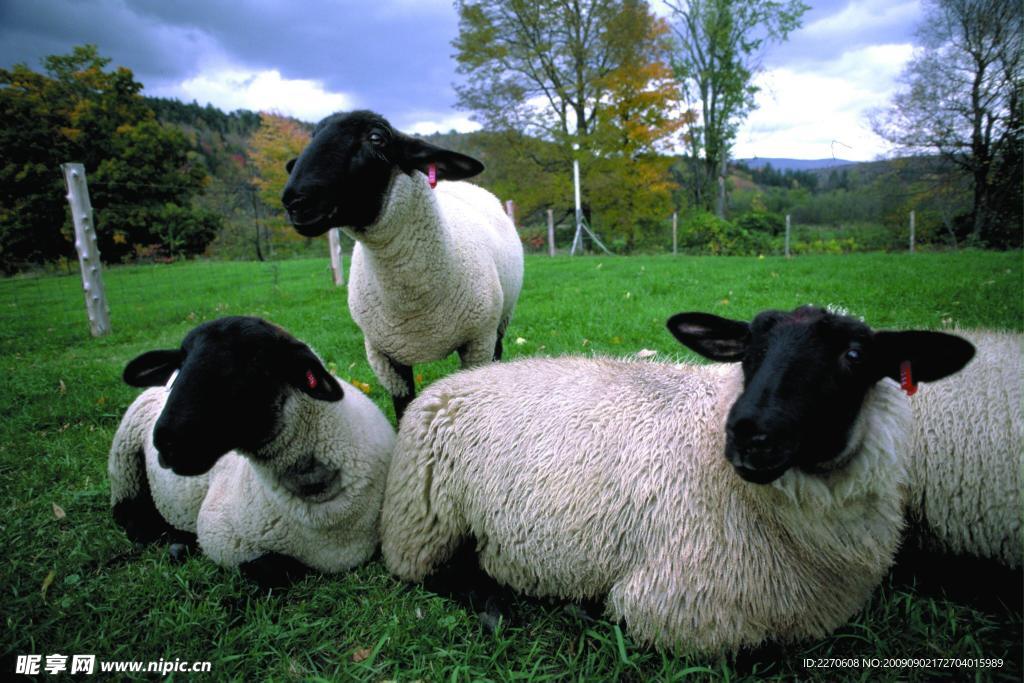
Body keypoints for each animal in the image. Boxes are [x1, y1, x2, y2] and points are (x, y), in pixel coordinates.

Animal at [109, 317, 395, 589]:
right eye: (181, 362)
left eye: (255, 360)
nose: (165, 441)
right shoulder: (220, 535)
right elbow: (276, 569)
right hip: (124, 468)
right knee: (129, 516)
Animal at [280, 111, 524, 421]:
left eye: (377, 138)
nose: (295, 201)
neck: (413, 302)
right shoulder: (384, 356)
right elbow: (403, 409)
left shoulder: (478, 341)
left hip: (500, 321)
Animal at [380, 307, 970, 655]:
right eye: (748, 351)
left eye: (854, 355)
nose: (748, 432)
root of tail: (454, 380)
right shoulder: (672, 607)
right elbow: (751, 650)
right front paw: (587, 610)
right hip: (424, 521)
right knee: (434, 574)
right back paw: (496, 608)